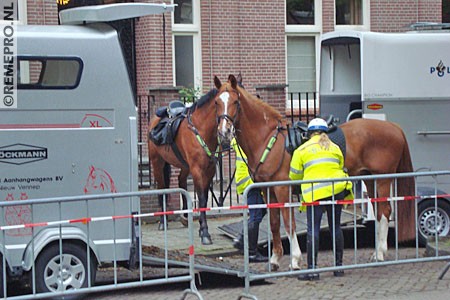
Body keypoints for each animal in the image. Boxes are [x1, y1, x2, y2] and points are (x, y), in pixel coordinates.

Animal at [148, 88, 223, 244]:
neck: (200, 129)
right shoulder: (197, 170)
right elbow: (201, 198)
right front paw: (205, 233)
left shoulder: (210, 170)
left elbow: (204, 199)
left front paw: (201, 229)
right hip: (158, 162)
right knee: (162, 188)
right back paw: (162, 222)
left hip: (184, 165)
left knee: (181, 181)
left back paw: (185, 216)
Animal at [213, 75, 416, 270]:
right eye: (216, 102)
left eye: (235, 102)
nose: (224, 131)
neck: (268, 138)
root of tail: (394, 127)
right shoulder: (267, 190)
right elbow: (274, 223)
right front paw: (275, 259)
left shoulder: (282, 189)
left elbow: (288, 222)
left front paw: (295, 260)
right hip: (370, 178)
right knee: (380, 210)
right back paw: (377, 252)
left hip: (383, 180)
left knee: (385, 211)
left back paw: (380, 253)